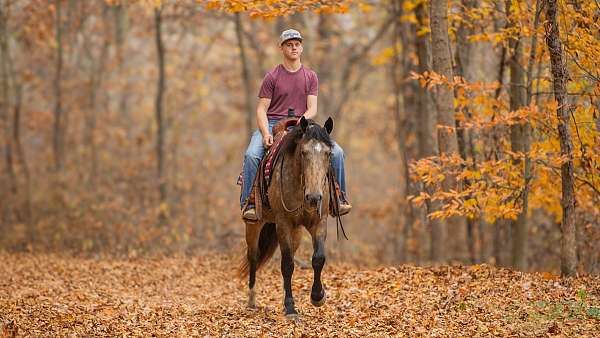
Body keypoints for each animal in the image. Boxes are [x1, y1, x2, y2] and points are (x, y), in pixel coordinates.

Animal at [239, 116, 338, 320]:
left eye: (328, 154)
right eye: (303, 152)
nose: (314, 197)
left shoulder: (319, 221)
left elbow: (318, 258)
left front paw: (318, 296)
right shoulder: (283, 223)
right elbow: (286, 265)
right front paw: (291, 308)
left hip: (296, 231)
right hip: (254, 225)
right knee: (254, 256)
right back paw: (252, 300)